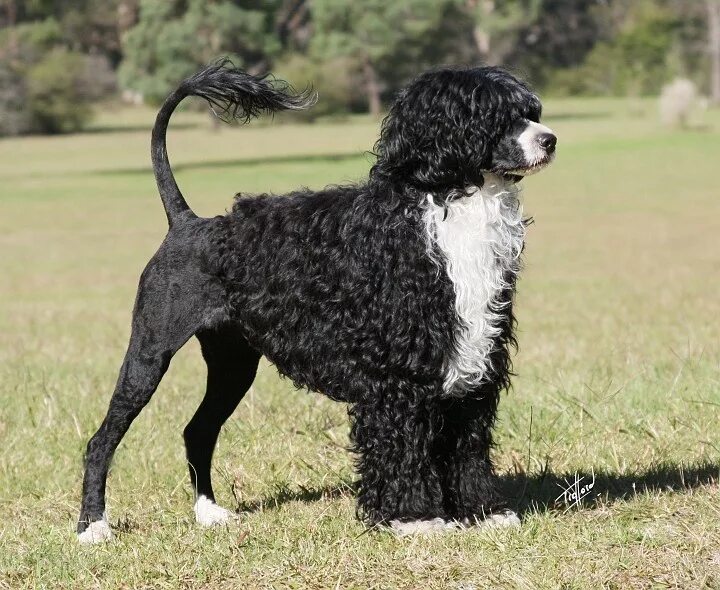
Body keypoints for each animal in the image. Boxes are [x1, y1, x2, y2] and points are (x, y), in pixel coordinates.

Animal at [77, 61, 556, 544]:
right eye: (493, 116)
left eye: (530, 112)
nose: (550, 139)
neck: (450, 209)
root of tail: (186, 222)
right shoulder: (398, 376)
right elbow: (403, 447)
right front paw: (413, 517)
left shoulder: (472, 368)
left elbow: (467, 447)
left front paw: (483, 511)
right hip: (149, 353)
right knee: (101, 441)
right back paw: (93, 527)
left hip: (233, 363)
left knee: (198, 431)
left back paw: (208, 512)